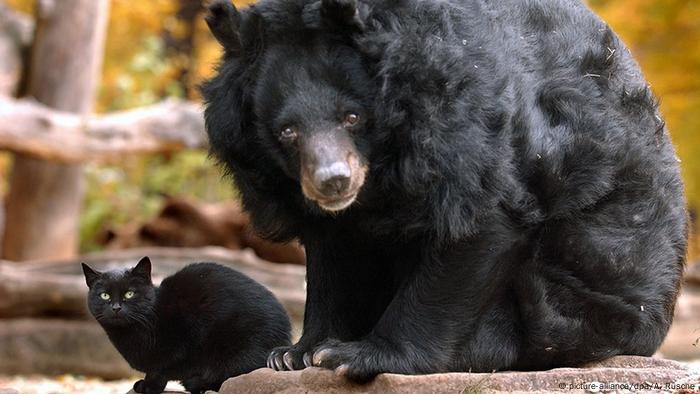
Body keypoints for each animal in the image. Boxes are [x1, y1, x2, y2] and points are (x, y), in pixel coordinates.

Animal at [81, 258, 290, 392]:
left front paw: (148, 386)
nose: (116, 307)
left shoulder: (180, 345)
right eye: (104, 295)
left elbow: (159, 370)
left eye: (129, 294)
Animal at [200, 0, 688, 384]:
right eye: (287, 131)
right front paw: (296, 353)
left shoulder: (464, 118)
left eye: (352, 117)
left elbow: (480, 221)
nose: (332, 181)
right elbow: (334, 258)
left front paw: (357, 354)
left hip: (581, 299)